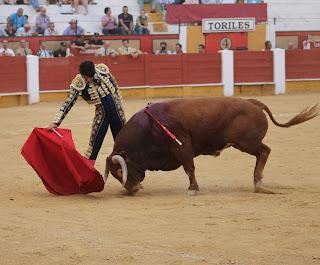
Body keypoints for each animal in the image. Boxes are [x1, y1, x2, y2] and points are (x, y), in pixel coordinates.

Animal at [104, 97, 318, 194]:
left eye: (121, 171)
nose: (131, 189)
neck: (149, 128)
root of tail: (253, 103)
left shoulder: (183, 147)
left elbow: (189, 168)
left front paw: (193, 189)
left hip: (246, 142)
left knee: (265, 151)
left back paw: (258, 183)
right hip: (245, 143)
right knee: (263, 152)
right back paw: (258, 183)